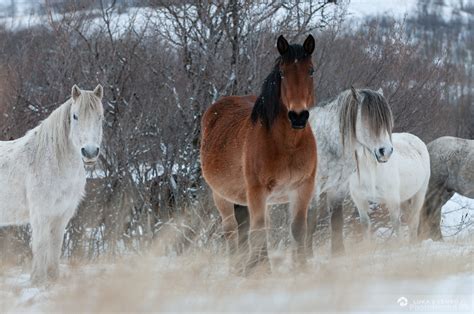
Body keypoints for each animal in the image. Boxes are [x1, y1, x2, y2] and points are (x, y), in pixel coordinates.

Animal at [0, 84, 103, 284]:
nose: (89, 152)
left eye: (100, 116)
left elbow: (55, 245)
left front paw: (53, 278)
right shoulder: (41, 214)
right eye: (75, 116)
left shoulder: (62, 214)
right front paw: (38, 280)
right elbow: (40, 245)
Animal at [200, 35, 314, 274]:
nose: (298, 116)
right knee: (232, 231)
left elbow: (298, 230)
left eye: (311, 70)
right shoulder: (257, 191)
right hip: (222, 197)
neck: (288, 145)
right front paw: (261, 271)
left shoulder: (302, 189)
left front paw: (301, 269)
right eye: (282, 73)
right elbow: (258, 232)